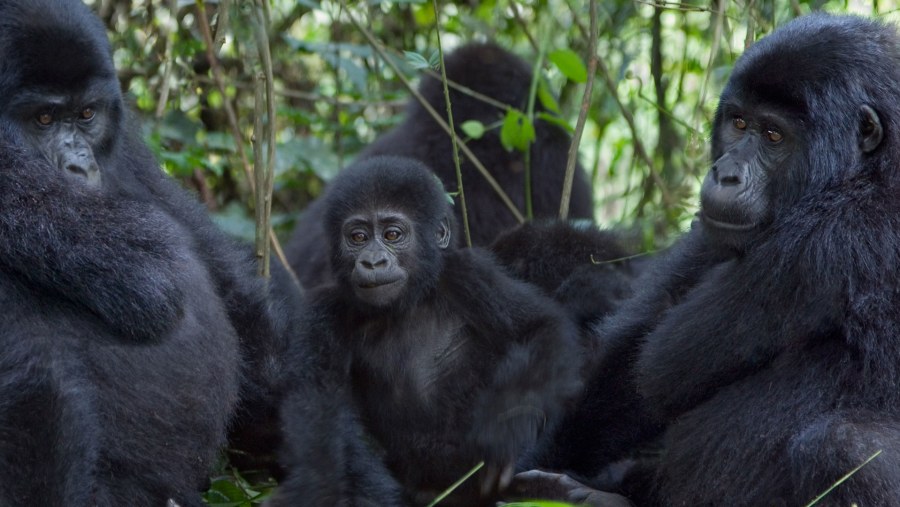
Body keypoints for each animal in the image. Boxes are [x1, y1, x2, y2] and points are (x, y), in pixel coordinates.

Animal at [0, 0, 302, 480]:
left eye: (87, 115)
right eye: (43, 119)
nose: (79, 167)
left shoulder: (125, 145)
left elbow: (222, 273)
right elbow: (152, 266)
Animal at [274, 157, 584, 506]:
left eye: (392, 234)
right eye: (358, 237)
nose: (372, 261)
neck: (406, 304)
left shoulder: (469, 272)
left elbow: (540, 327)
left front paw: (508, 427)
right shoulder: (323, 311)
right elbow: (317, 406)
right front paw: (317, 486)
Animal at [516, 11, 900, 507]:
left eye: (773, 135)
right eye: (738, 123)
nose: (725, 174)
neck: (869, 169)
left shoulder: (834, 237)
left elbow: (661, 366)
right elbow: (632, 355)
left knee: (846, 447)